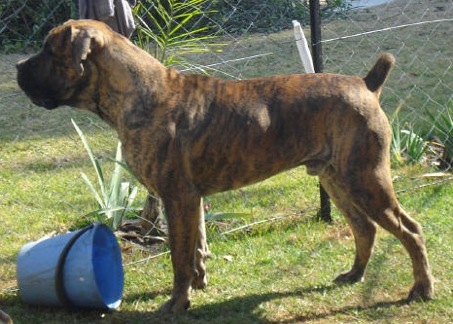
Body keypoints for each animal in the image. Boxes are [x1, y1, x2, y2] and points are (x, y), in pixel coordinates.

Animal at [16, 19, 434, 312]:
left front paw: (176, 303)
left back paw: (422, 288)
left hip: (366, 180)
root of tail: (366, 84)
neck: (139, 92)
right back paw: (355, 275)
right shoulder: (192, 200)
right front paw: (198, 284)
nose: (18, 65)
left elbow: (179, 256)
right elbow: (196, 248)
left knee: (410, 230)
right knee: (365, 229)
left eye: (48, 50)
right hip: (338, 181)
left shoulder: (177, 198)